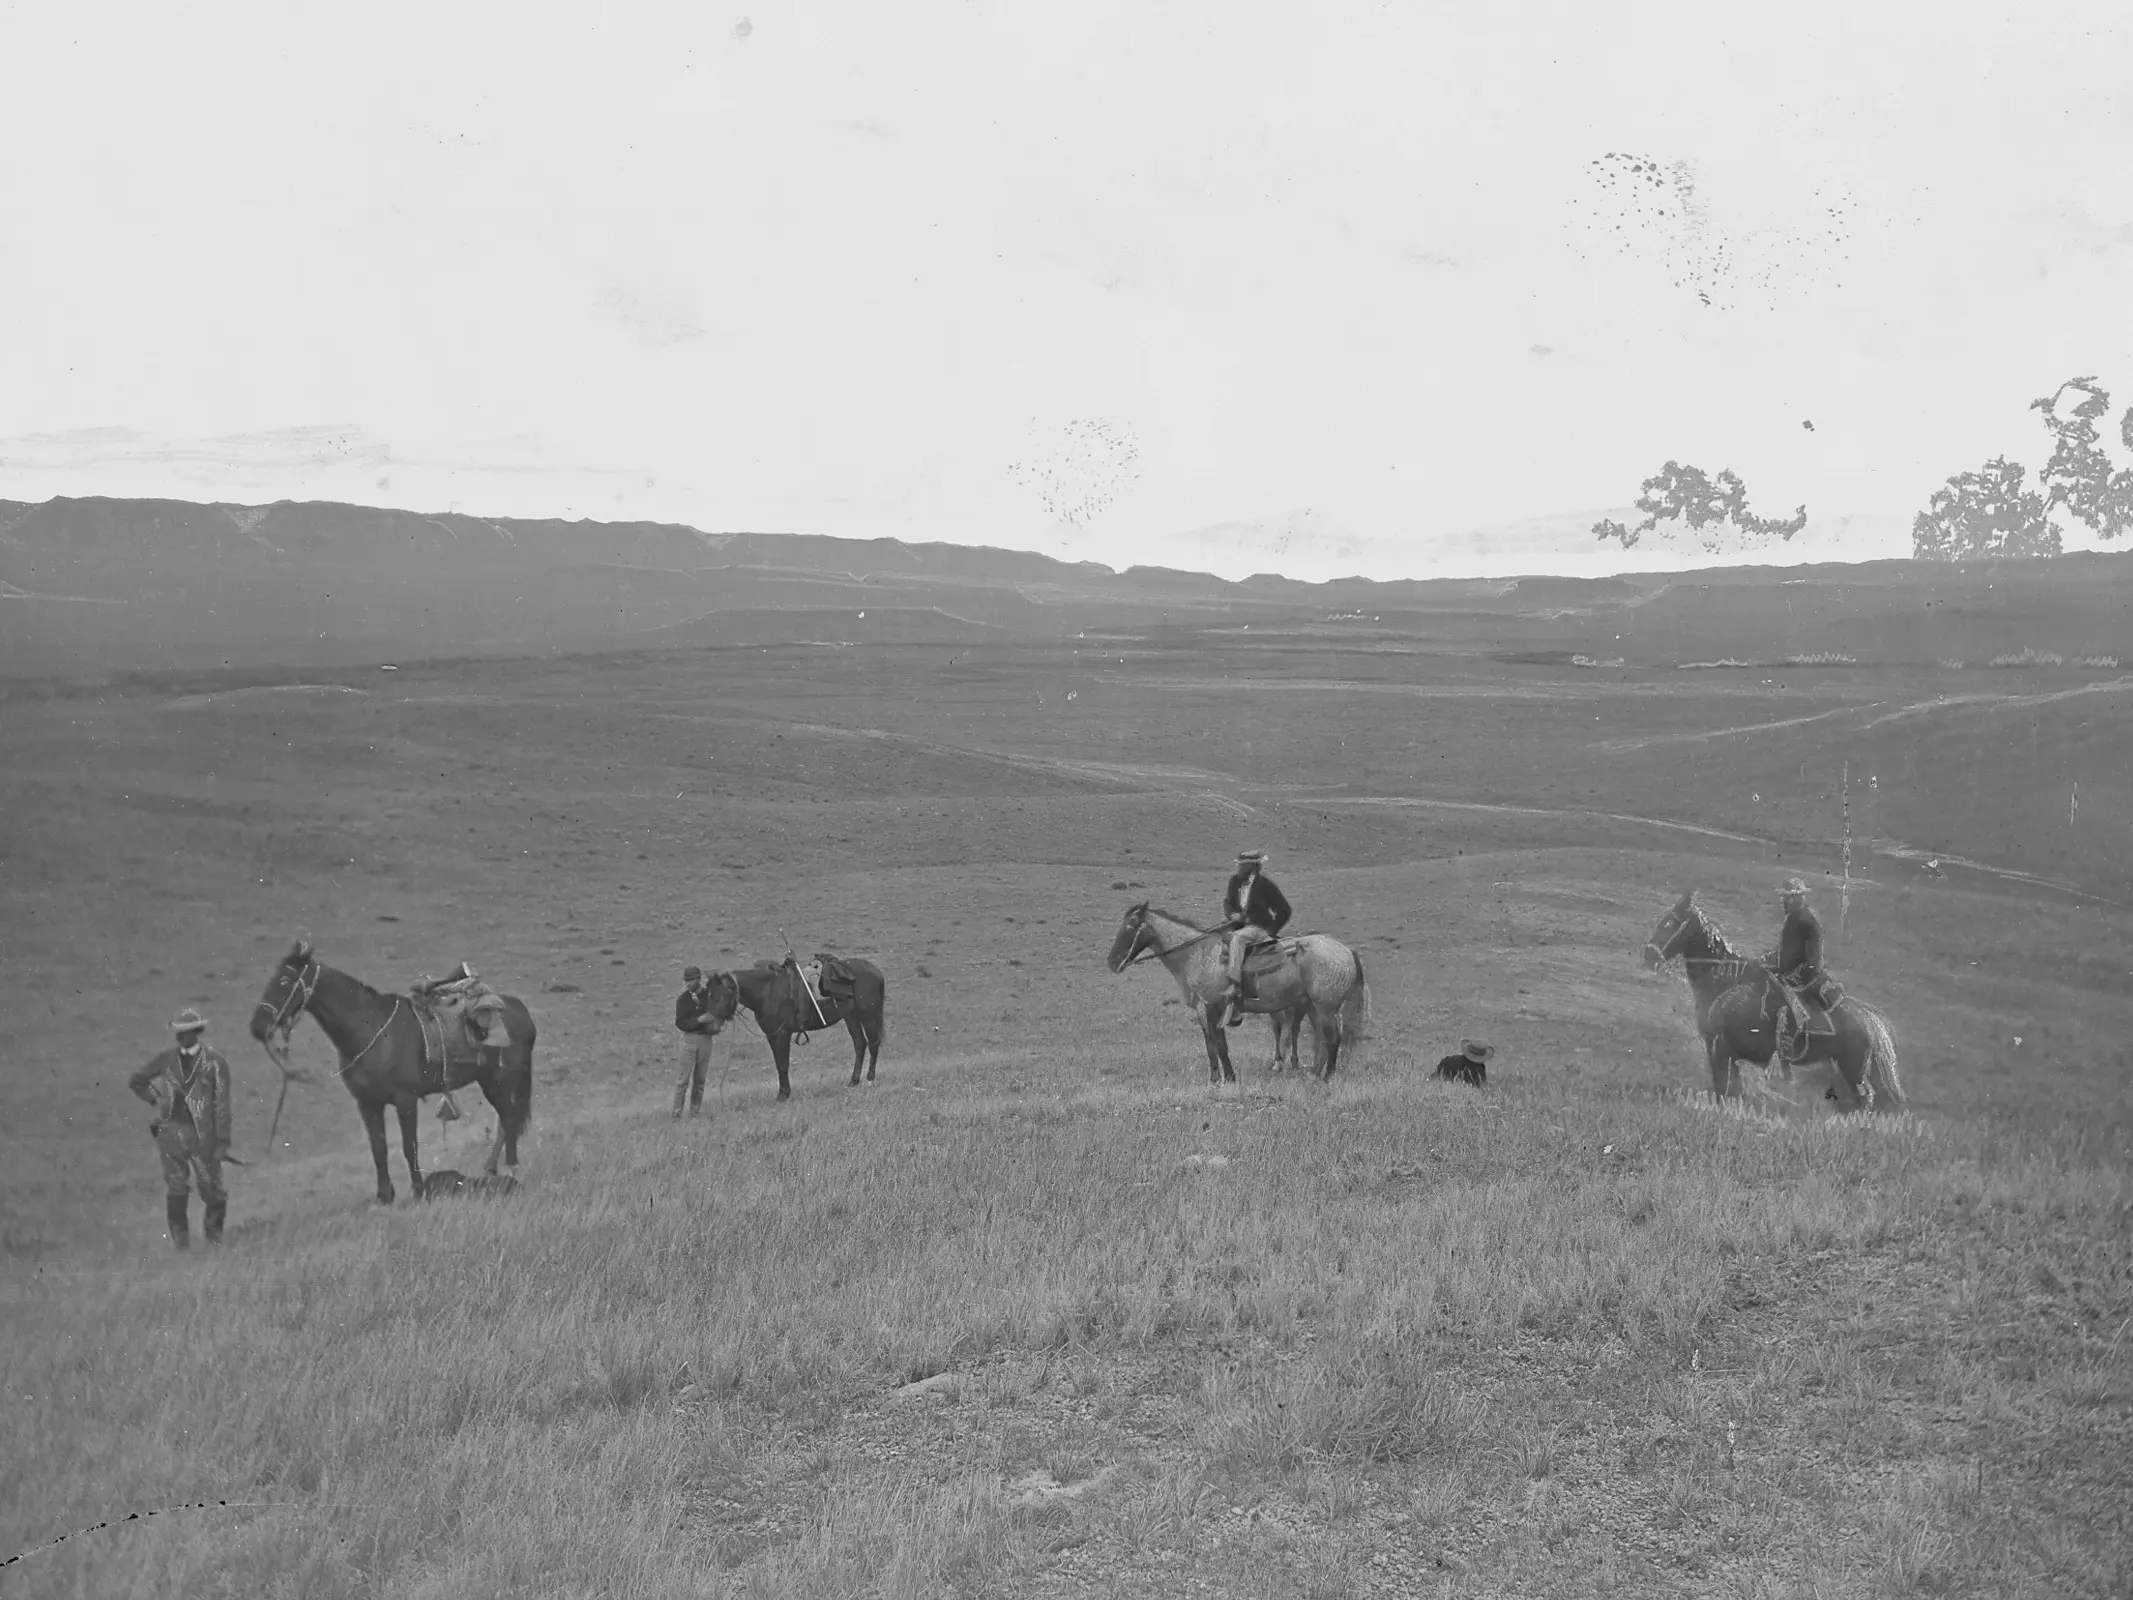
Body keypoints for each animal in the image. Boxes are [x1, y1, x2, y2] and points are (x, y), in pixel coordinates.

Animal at [249, 938, 537, 1203]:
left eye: (284, 980)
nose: (257, 1027)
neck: (371, 1030)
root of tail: (521, 1011)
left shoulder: (405, 1100)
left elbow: (410, 1147)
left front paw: (419, 1191)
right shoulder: (367, 1103)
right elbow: (379, 1149)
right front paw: (385, 1196)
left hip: (500, 1082)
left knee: (509, 1119)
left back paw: (512, 1169)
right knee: (506, 1121)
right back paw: (492, 1169)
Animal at [716, 951, 883, 1100]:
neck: (768, 990)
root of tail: (873, 969)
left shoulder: (782, 1033)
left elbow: (783, 1064)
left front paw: (783, 1094)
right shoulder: (772, 1034)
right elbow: (778, 1063)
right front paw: (784, 1092)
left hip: (868, 1017)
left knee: (873, 1044)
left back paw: (870, 1079)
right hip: (851, 1018)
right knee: (860, 1044)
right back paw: (853, 1081)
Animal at [1109, 904, 1373, 1092]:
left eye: (1131, 926)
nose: (1112, 962)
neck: (1198, 955)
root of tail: (1346, 951)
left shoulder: (1210, 1007)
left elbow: (1216, 1045)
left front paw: (1222, 1079)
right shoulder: (1209, 1010)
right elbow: (1216, 1045)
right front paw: (1223, 1077)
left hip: (1325, 1007)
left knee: (1332, 1039)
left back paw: (1327, 1077)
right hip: (1313, 1007)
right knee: (1322, 1040)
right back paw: (1313, 1074)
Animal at [1646, 891, 1902, 1117]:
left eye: (1670, 922)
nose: (1649, 954)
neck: (1727, 984)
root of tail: (1869, 1018)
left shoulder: (1723, 1048)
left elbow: (1727, 1088)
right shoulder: (1718, 1048)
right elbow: (1728, 1089)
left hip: (1853, 1068)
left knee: (1865, 1098)